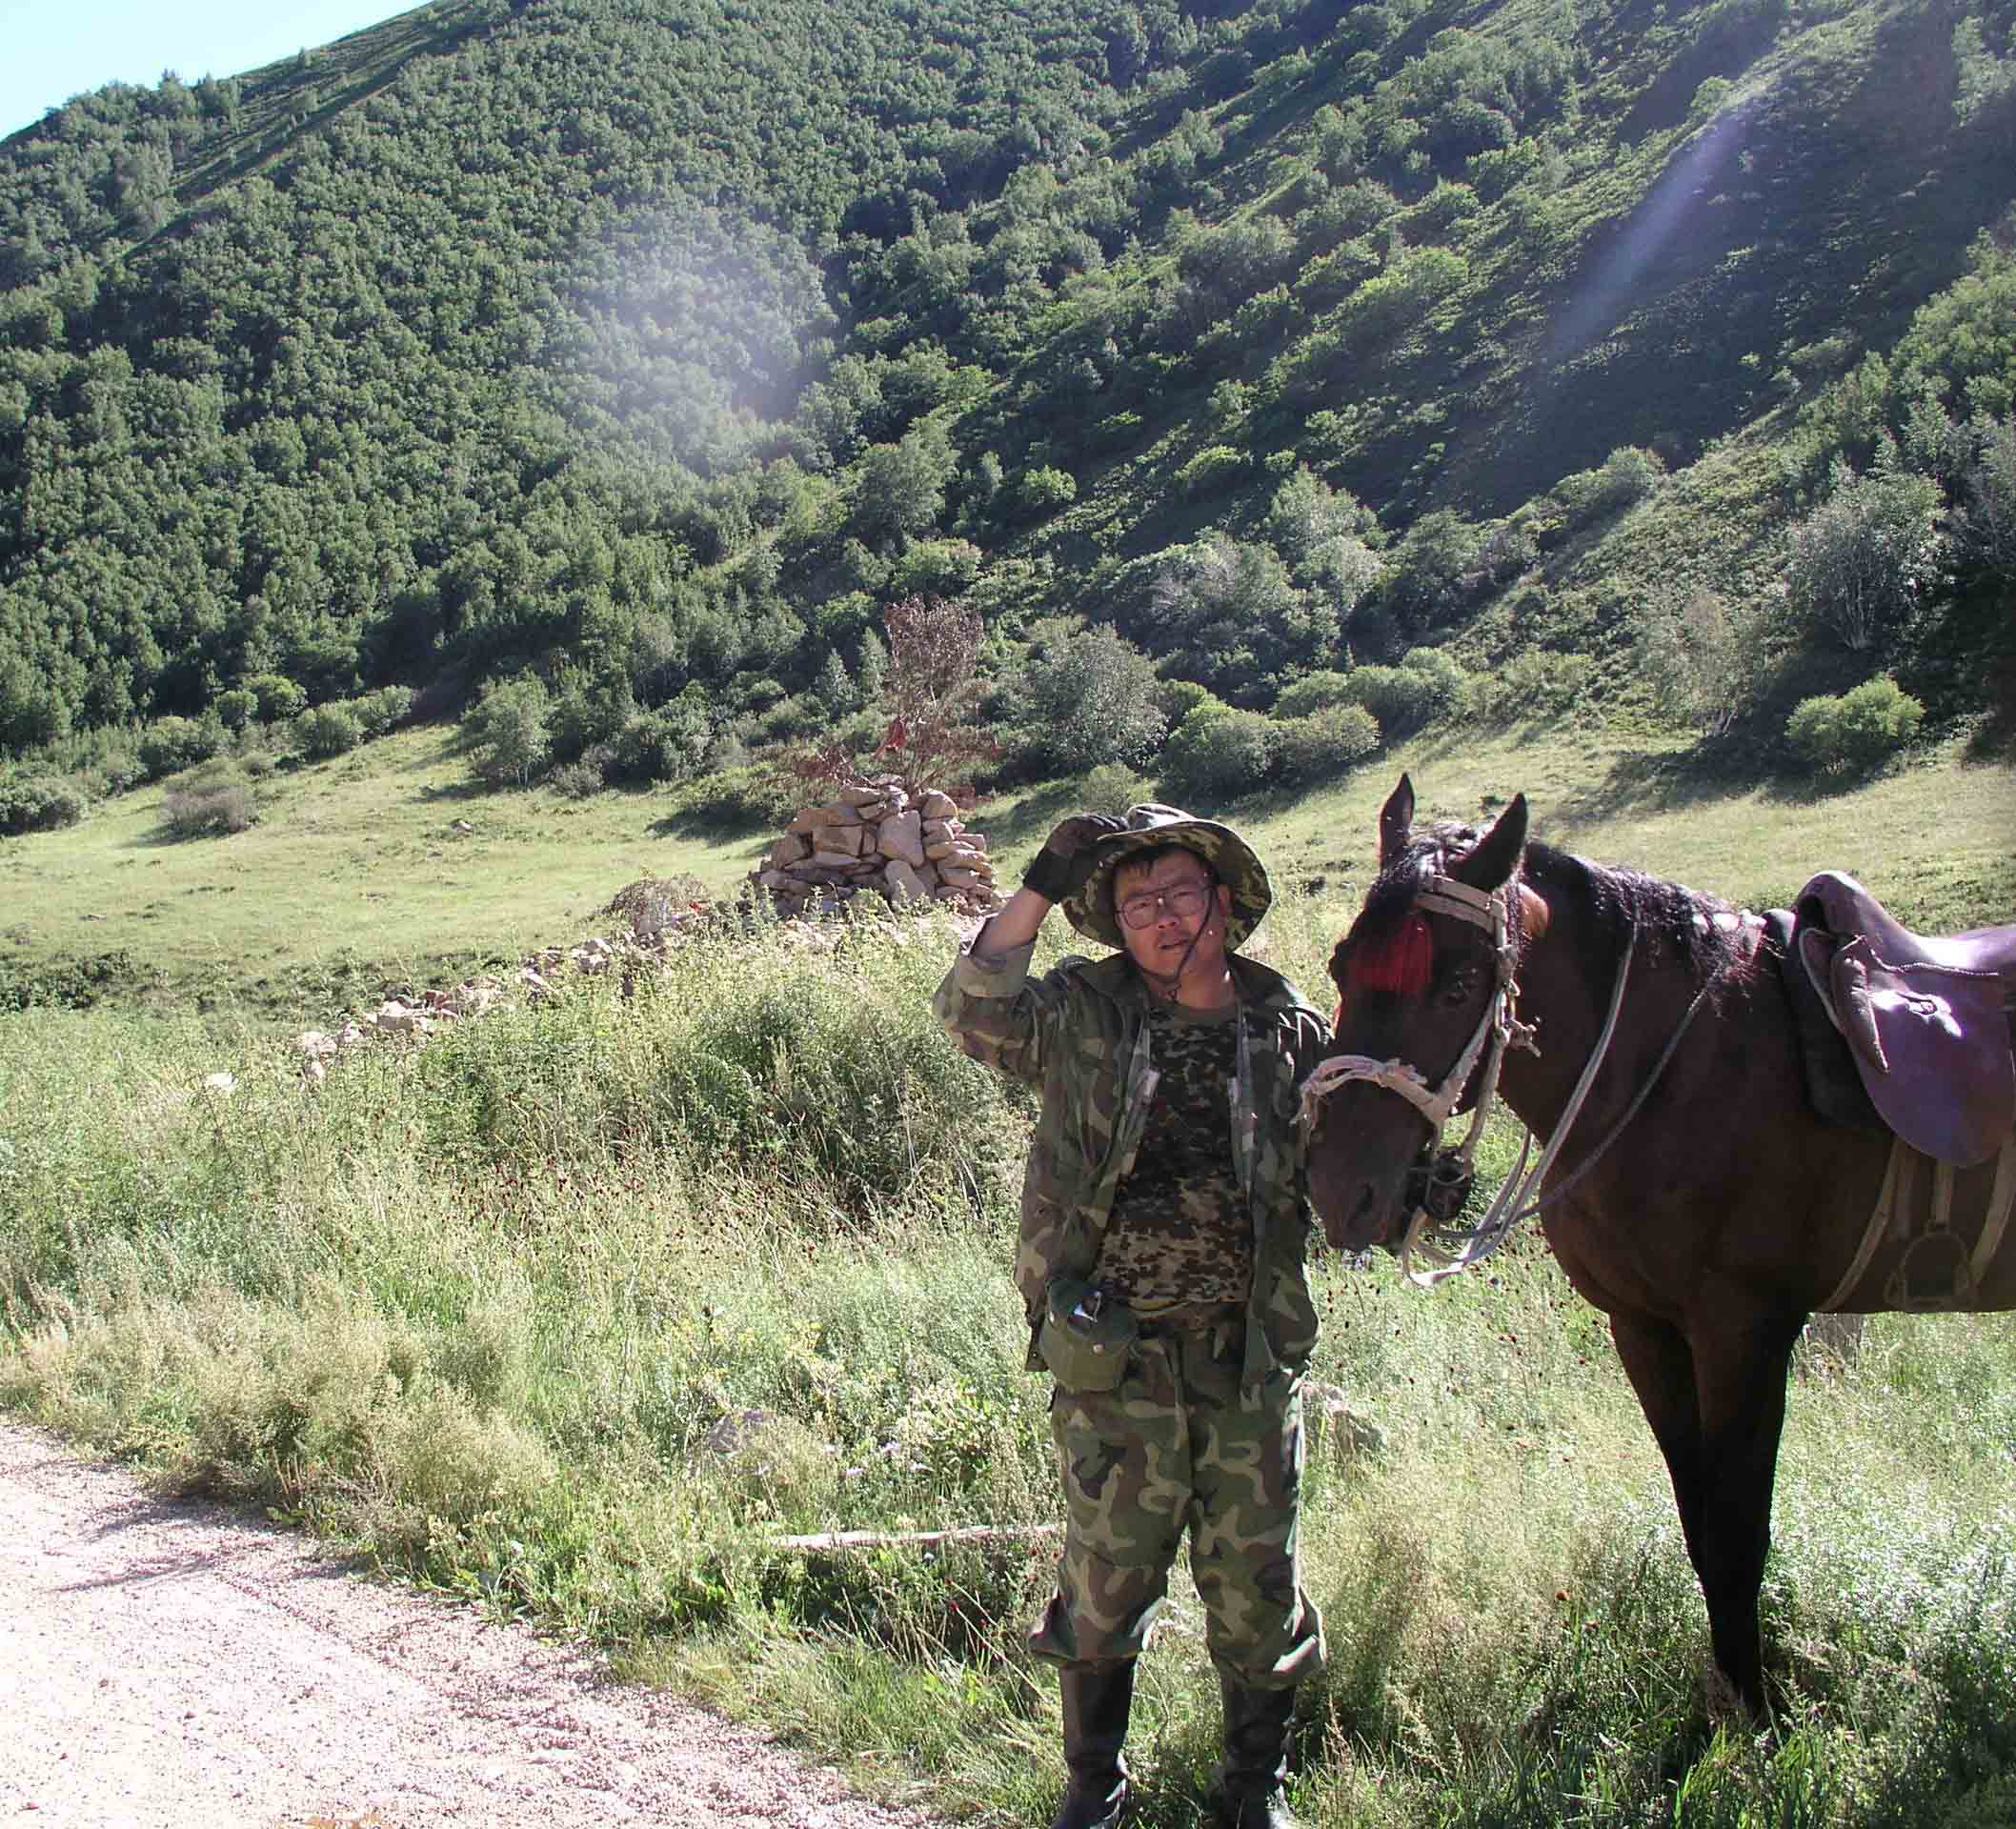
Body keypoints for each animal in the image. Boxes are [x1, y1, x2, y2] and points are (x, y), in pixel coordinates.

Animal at [1306, 774, 2016, 1718]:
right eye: (1342, 968)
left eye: (1458, 987)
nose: (1339, 1190)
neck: (1679, 1069)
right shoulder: (1643, 1328)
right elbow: (1699, 1524)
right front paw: (1724, 1696)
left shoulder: (1743, 1329)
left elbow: (1740, 1531)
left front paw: (1754, 1717)